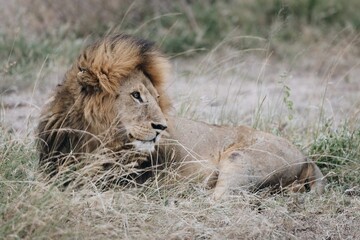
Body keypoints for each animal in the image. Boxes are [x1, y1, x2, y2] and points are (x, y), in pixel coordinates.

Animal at [38, 34, 324, 199]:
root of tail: (307, 158)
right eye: (136, 95)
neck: (88, 137)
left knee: (219, 200)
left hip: (241, 160)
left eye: (156, 97)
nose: (161, 127)